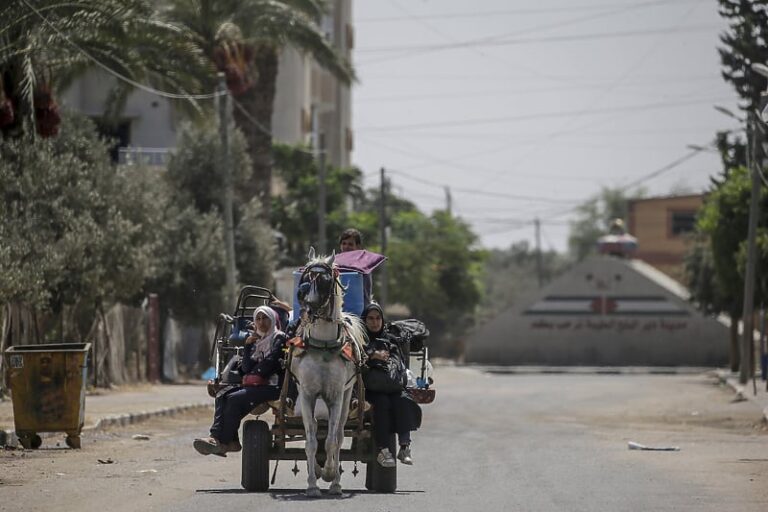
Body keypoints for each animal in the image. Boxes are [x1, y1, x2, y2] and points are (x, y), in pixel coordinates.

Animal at [292, 248, 368, 496]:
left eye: (325, 280)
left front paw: (330, 476)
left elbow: (332, 441)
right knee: (317, 430)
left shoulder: (335, 396)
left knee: (340, 433)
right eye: (305, 278)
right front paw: (312, 483)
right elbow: (311, 441)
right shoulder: (307, 394)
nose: (305, 300)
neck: (323, 345)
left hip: (346, 396)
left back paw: (334, 480)